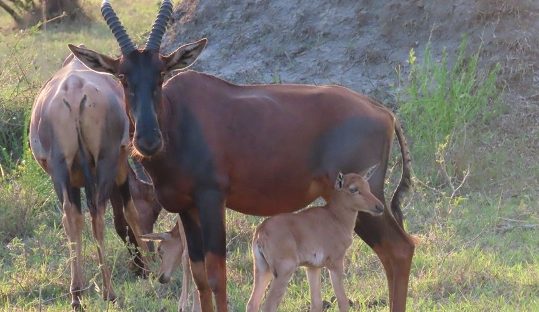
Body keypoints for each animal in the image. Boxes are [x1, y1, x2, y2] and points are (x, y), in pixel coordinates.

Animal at [30, 50, 151, 308]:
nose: (140, 267)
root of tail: (75, 92)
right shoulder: (120, 167)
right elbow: (129, 212)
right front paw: (152, 270)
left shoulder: (76, 181)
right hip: (105, 162)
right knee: (98, 213)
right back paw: (109, 293)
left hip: (59, 169)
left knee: (71, 215)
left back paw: (77, 295)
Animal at [247, 171, 382, 312]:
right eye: (354, 189)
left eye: (367, 186)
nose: (379, 207)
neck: (335, 217)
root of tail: (261, 231)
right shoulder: (335, 263)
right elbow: (343, 302)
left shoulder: (312, 267)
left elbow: (316, 304)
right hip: (284, 271)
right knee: (269, 306)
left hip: (263, 269)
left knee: (252, 304)